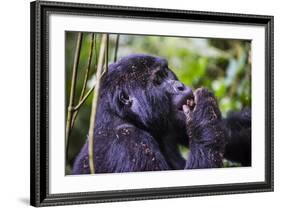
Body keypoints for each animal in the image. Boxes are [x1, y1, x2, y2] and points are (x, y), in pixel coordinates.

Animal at [71, 54, 249, 174]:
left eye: (165, 73)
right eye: (157, 80)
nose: (180, 86)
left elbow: (232, 133)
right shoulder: (129, 143)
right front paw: (204, 112)